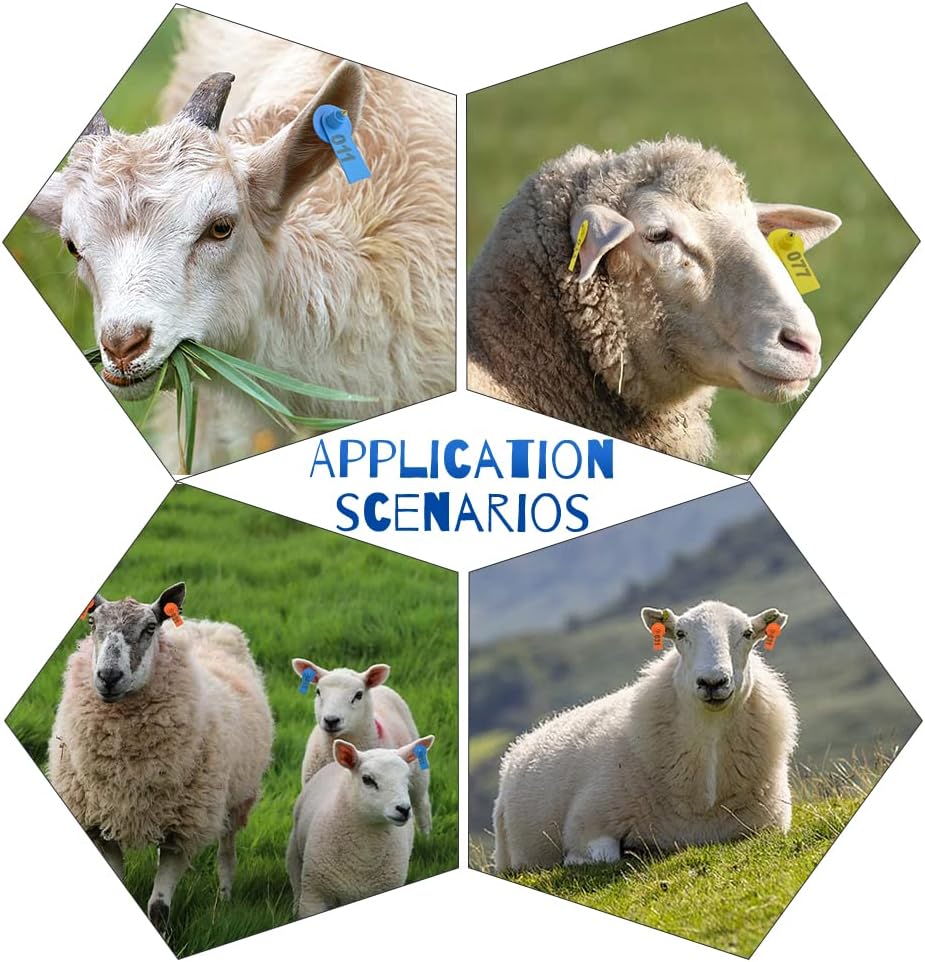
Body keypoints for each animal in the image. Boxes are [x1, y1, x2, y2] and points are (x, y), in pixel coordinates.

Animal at [48, 583, 273, 931]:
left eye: (150, 628)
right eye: (92, 623)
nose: (108, 676)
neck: (126, 770)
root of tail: (205, 624)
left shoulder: (183, 829)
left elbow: (158, 907)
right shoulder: (100, 825)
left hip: (236, 798)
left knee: (227, 851)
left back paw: (224, 899)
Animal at [286, 735, 435, 917]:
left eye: (407, 780)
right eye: (368, 780)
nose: (404, 809)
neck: (364, 858)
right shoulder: (314, 895)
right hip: (294, 854)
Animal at [291, 658, 432, 834]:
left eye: (358, 695)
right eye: (318, 692)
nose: (331, 720)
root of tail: (381, 687)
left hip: (419, 777)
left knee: (422, 806)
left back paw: (426, 836)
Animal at [492, 600, 798, 872]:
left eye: (747, 633)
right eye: (680, 634)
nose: (713, 682)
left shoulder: (770, 825)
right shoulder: (587, 824)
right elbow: (601, 857)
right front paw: (582, 860)